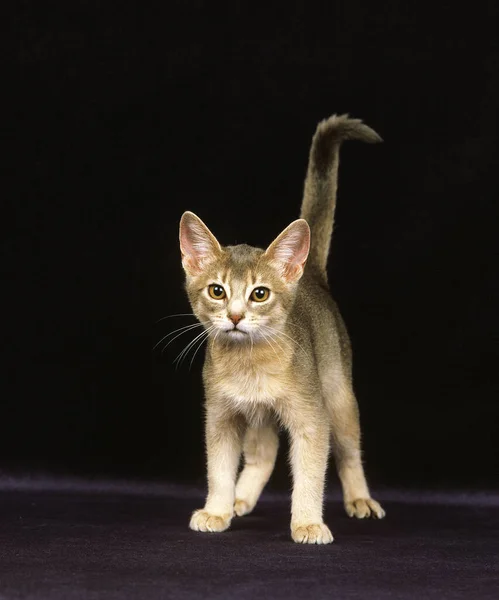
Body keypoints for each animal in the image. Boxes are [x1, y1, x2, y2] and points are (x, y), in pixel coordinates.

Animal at [180, 112, 386, 544]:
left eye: (259, 294)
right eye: (217, 291)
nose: (235, 316)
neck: (250, 365)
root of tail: (314, 279)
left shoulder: (311, 417)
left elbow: (310, 474)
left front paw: (307, 522)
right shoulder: (221, 416)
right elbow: (218, 470)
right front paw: (217, 509)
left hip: (339, 393)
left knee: (349, 449)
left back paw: (360, 499)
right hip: (258, 415)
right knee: (264, 451)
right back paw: (239, 499)